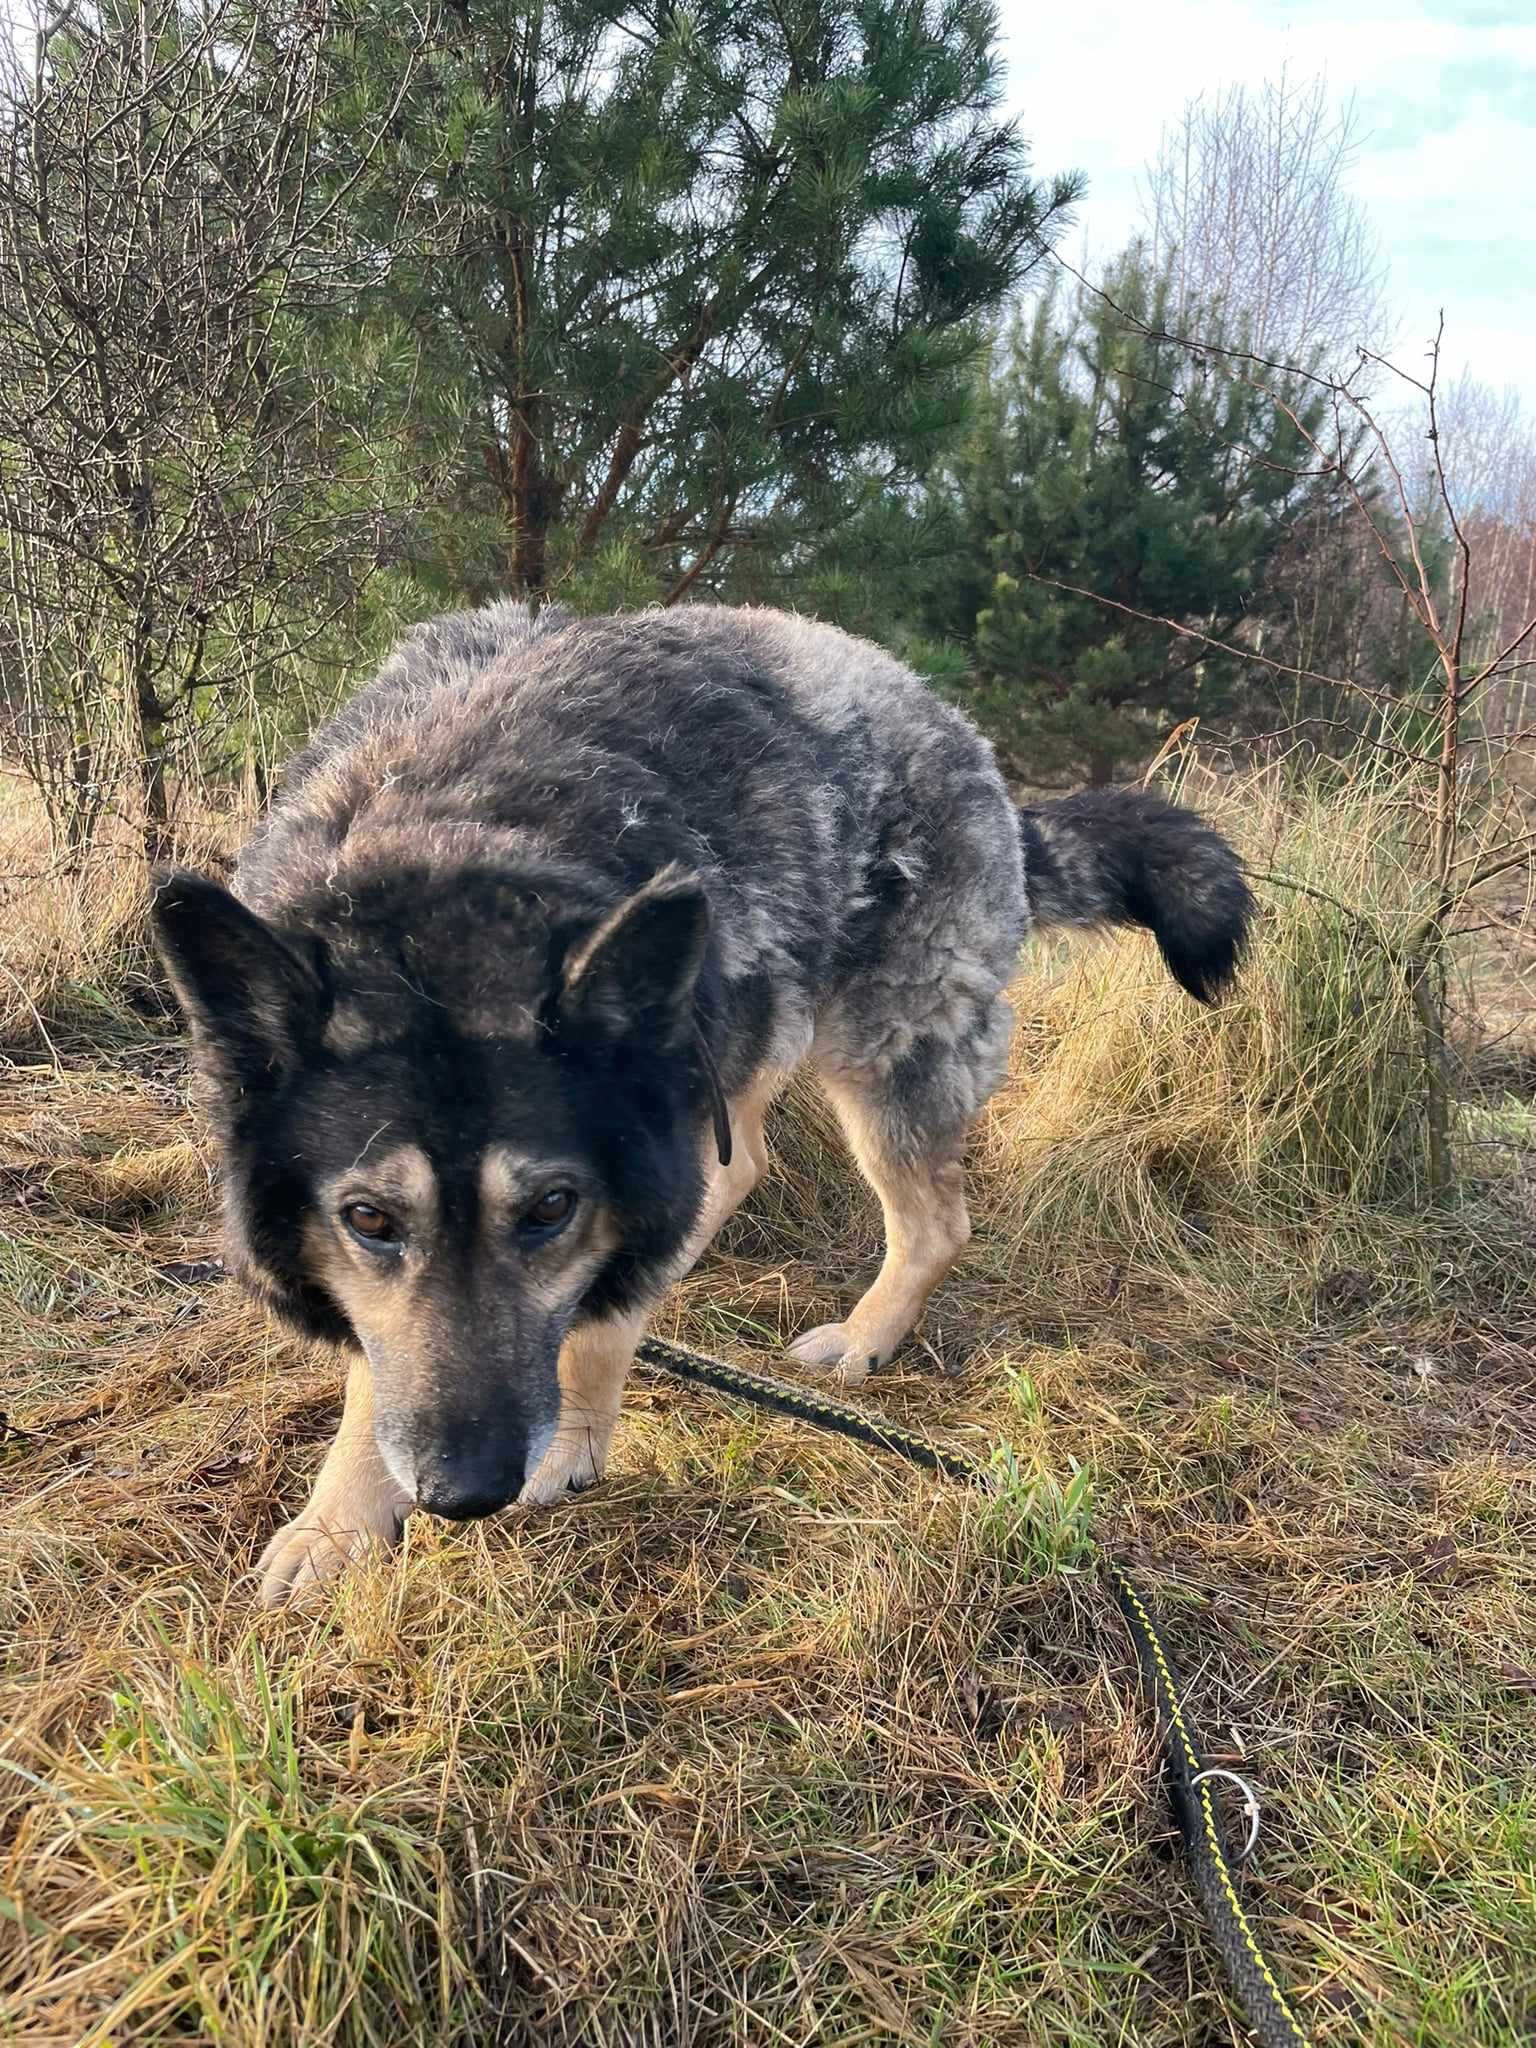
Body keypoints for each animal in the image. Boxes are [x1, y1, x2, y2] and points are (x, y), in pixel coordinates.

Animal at [153, 598, 1253, 1605]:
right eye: (370, 1219)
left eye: (550, 1209)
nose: (463, 1493)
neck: (447, 857)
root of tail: (964, 739)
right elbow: (379, 1364)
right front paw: (340, 1519)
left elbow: (603, 1314)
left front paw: (573, 1439)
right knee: (744, 1165)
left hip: (875, 1065)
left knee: (931, 1221)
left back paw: (865, 1338)